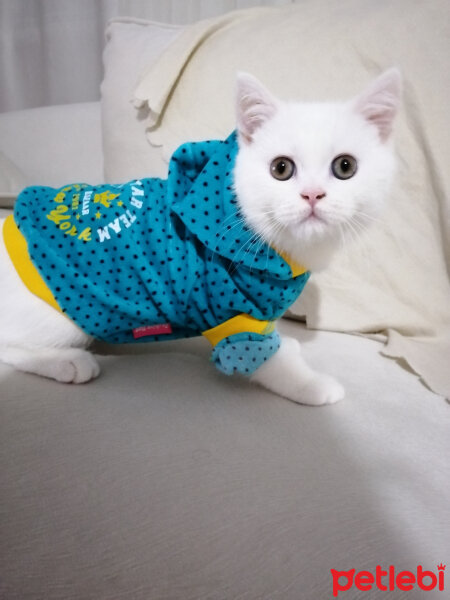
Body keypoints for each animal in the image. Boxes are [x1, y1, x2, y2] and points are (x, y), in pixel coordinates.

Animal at [0, 70, 400, 406]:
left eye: (345, 167)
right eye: (281, 168)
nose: (313, 194)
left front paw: (289, 348)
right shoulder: (233, 315)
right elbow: (266, 361)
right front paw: (312, 385)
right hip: (66, 317)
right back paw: (67, 362)